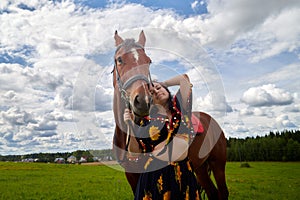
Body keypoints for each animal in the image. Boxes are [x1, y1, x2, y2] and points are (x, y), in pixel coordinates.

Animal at [111, 30, 229, 199]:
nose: (143, 100)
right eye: (120, 59)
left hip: (218, 164)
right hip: (200, 168)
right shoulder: (131, 175)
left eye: (148, 61)